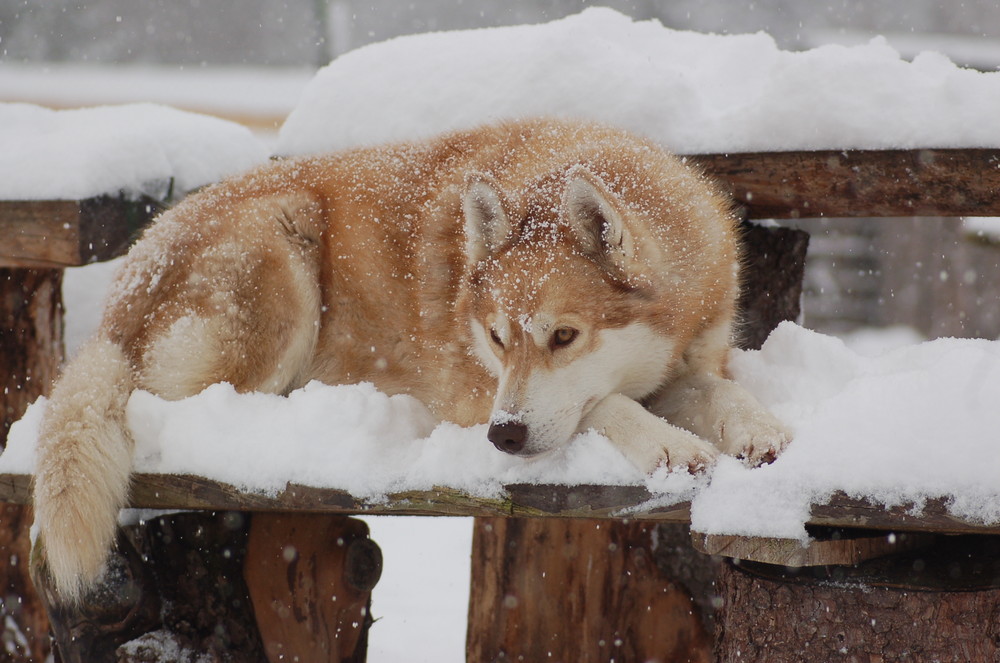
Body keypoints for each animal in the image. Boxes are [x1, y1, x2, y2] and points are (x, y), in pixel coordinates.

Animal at [33, 118, 788, 600]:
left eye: (564, 336)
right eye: (497, 338)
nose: (504, 436)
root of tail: (122, 295)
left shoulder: (692, 366)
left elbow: (721, 395)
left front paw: (762, 431)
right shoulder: (475, 395)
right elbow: (606, 405)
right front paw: (670, 446)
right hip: (284, 248)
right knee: (173, 405)